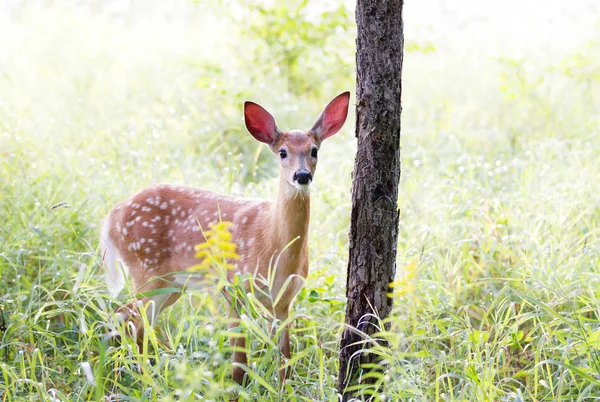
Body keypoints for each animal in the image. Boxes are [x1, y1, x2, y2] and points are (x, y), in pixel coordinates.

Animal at [99, 92, 352, 386]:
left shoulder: (283, 301)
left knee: (138, 323)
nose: (302, 176)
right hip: (146, 268)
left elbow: (284, 361)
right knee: (122, 316)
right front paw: (236, 389)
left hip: (171, 285)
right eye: (282, 152)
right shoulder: (233, 285)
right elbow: (239, 363)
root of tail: (112, 215)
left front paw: (283, 388)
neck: (273, 246)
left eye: (314, 151)